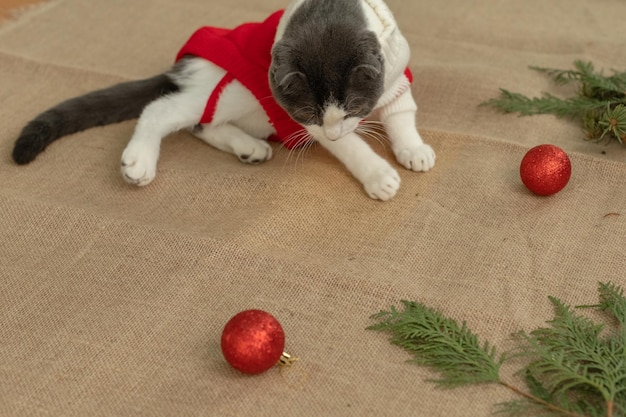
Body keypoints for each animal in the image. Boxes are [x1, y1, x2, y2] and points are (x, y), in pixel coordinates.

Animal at [13, 0, 434, 200]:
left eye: (354, 108)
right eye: (308, 113)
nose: (331, 132)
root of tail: (185, 65)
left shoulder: (396, 74)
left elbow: (401, 112)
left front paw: (412, 149)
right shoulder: (301, 120)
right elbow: (350, 146)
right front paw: (378, 174)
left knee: (203, 123)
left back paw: (249, 147)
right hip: (232, 88)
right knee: (165, 109)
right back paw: (139, 160)